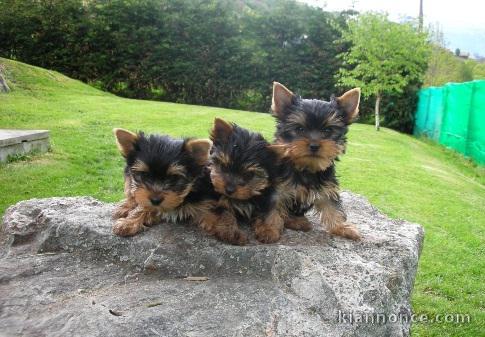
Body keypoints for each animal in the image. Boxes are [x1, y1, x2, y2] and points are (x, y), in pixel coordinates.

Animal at [270, 81, 362, 239]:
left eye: (328, 130)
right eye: (300, 129)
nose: (314, 145)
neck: (307, 168)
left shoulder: (327, 187)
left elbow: (332, 206)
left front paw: (342, 227)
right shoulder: (278, 188)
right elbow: (273, 209)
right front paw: (271, 229)